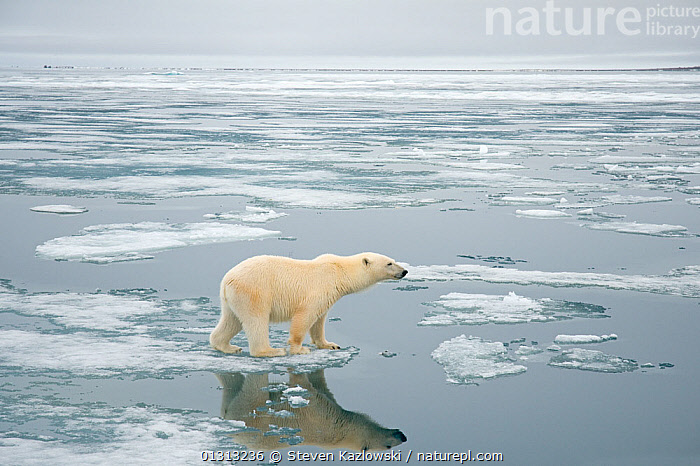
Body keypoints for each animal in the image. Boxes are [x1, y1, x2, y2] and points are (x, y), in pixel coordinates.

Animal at [210, 252, 407, 357]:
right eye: (389, 263)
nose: (405, 271)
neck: (340, 271)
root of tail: (227, 280)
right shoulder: (320, 288)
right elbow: (305, 316)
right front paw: (300, 349)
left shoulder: (329, 295)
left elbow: (319, 321)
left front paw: (330, 344)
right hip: (254, 292)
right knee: (256, 320)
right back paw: (272, 350)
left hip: (233, 299)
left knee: (231, 320)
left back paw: (228, 346)